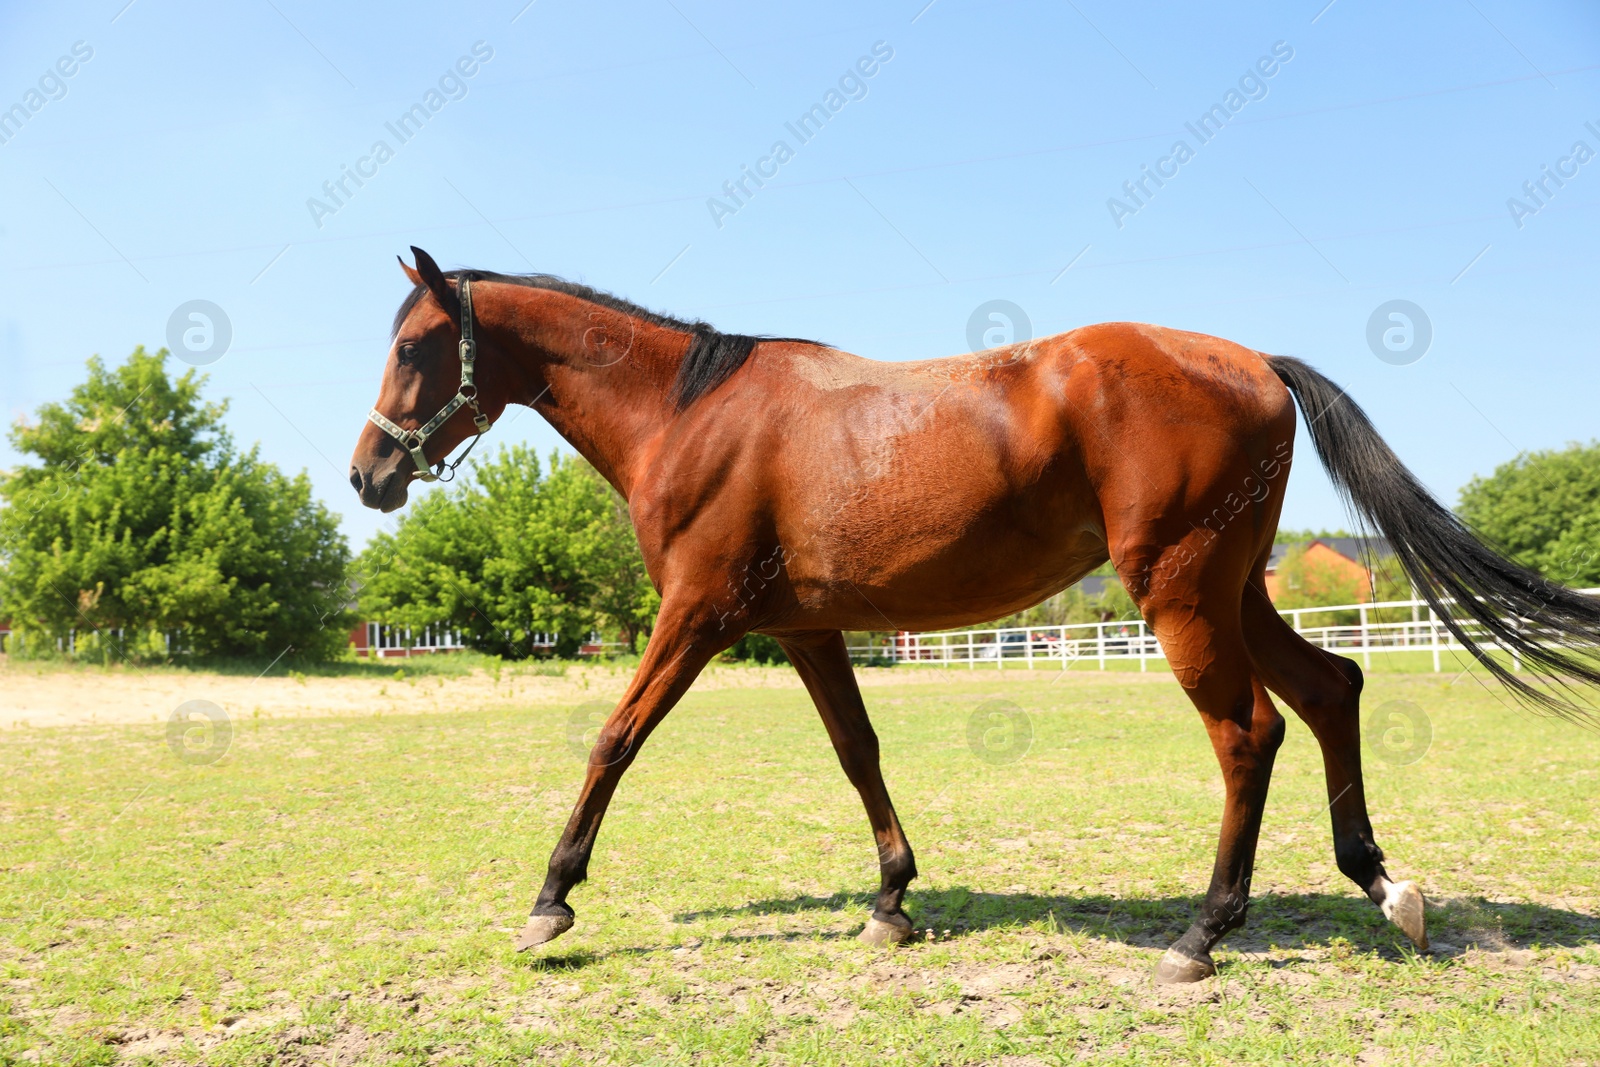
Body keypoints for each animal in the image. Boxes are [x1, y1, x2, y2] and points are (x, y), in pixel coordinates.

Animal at [353, 247, 1600, 985]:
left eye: (415, 345)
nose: (370, 473)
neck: (692, 413)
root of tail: (1250, 360)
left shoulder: (697, 616)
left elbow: (613, 739)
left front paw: (549, 900)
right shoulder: (804, 629)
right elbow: (857, 751)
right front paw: (892, 898)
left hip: (1180, 594)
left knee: (1249, 732)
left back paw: (1204, 933)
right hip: (1234, 589)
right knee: (1334, 688)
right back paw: (1384, 886)